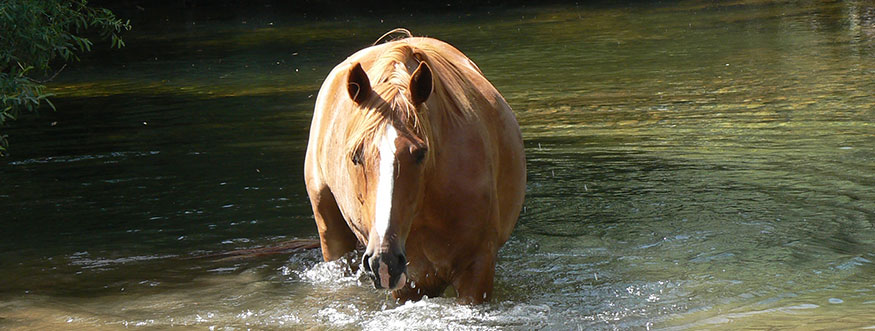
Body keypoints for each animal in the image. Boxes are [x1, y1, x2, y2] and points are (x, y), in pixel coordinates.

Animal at [306, 29, 528, 304]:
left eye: (421, 153)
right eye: (356, 156)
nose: (384, 261)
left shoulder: (478, 270)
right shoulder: (408, 282)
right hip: (332, 234)